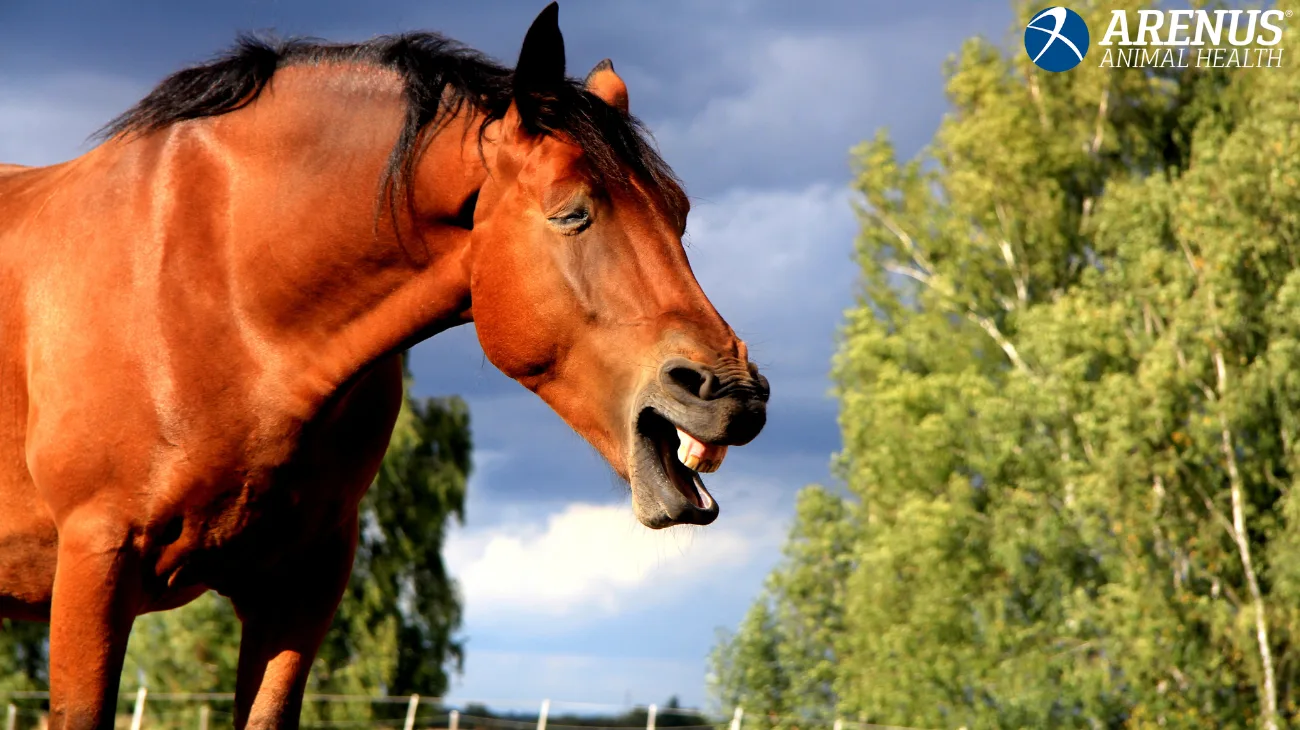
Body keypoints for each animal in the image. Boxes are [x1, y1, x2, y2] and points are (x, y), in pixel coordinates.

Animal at [0, 3, 768, 728]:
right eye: (571, 214)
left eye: (680, 214)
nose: (732, 394)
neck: (216, 295)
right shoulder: (96, 567)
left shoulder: (299, 588)